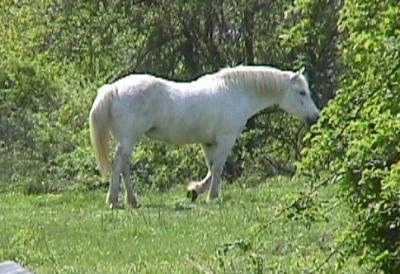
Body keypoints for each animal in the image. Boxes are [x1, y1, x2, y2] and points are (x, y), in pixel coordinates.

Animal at [89, 66, 320, 208]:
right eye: (301, 92)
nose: (315, 117)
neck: (235, 91)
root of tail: (114, 88)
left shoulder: (208, 143)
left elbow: (211, 168)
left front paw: (195, 190)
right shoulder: (226, 139)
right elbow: (218, 168)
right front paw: (212, 195)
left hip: (127, 141)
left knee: (124, 167)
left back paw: (132, 200)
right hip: (128, 139)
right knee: (119, 165)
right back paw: (115, 200)